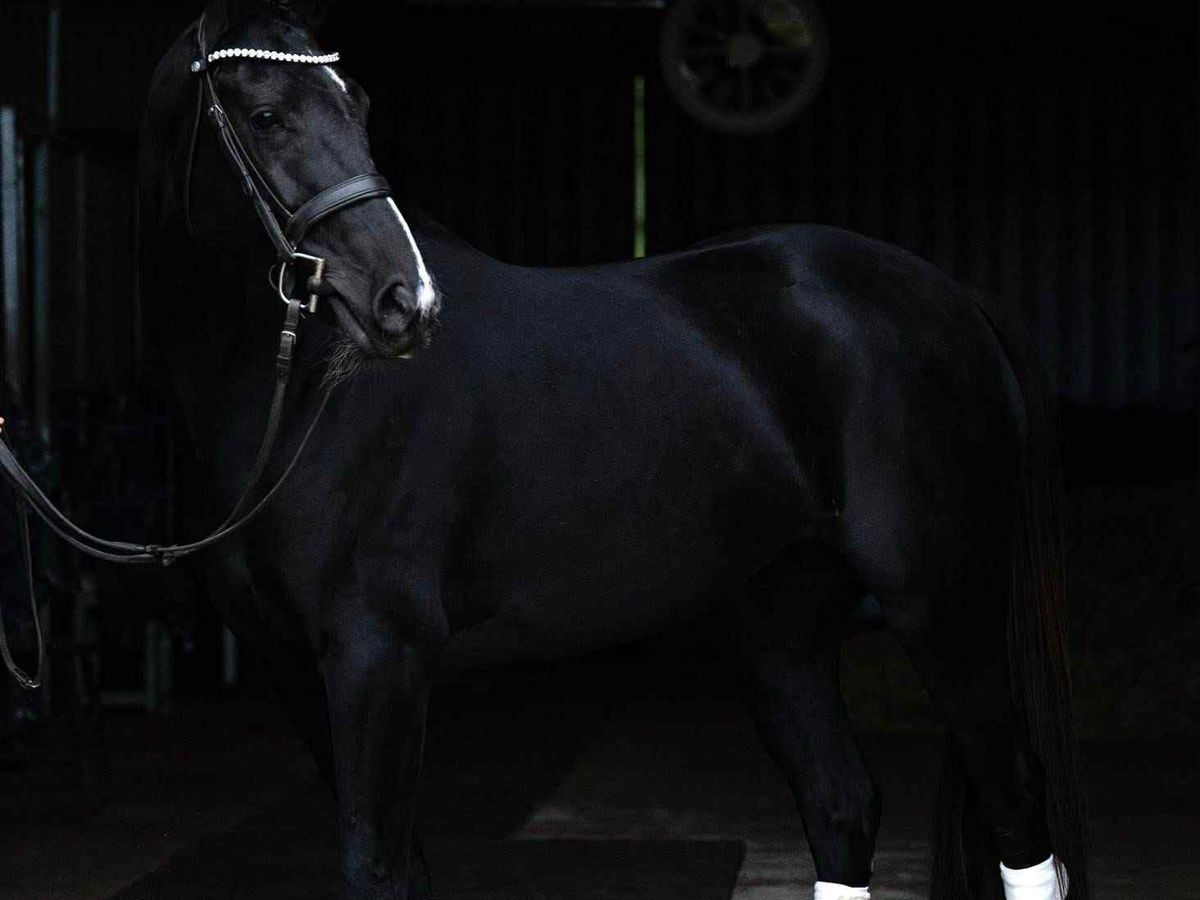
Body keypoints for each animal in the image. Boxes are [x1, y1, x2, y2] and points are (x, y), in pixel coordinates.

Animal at [133, 1, 1090, 897]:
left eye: (357, 104)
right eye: (264, 115)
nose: (406, 304)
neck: (309, 400)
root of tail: (949, 294)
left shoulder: (380, 658)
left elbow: (375, 870)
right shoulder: (298, 670)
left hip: (942, 603)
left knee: (1016, 803)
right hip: (781, 627)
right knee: (842, 805)